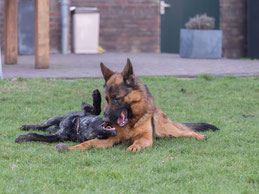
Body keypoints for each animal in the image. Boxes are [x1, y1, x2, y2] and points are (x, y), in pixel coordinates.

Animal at [68, 58, 219, 152]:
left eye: (116, 98)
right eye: (106, 99)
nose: (104, 120)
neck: (130, 123)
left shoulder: (145, 138)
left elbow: (139, 141)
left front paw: (134, 146)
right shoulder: (109, 140)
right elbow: (89, 143)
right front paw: (73, 147)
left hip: (165, 127)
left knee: (185, 131)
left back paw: (199, 136)